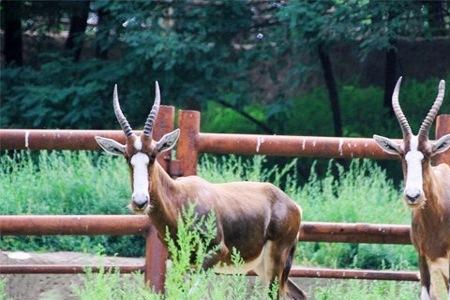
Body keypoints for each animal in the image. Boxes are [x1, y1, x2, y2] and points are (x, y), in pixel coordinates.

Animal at [94, 82, 306, 300]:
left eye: (153, 155)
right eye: (127, 157)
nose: (140, 202)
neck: (180, 198)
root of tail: (292, 205)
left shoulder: (215, 254)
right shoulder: (180, 260)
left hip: (276, 261)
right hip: (263, 267)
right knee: (299, 294)